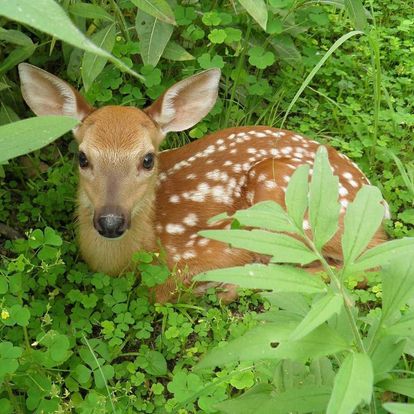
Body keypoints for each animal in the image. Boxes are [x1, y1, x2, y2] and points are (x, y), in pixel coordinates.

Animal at [18, 64, 388, 302]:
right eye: (82, 157)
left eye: (148, 159)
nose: (110, 221)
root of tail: (376, 202)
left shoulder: (212, 249)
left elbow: (163, 292)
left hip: (289, 201)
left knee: (370, 264)